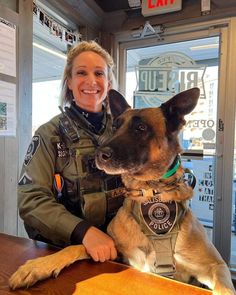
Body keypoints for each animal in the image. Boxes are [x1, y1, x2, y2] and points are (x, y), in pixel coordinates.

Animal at [8, 89, 235, 294]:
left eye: (141, 128)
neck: (150, 193)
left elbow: (224, 288)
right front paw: (36, 266)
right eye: (115, 127)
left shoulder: (217, 266)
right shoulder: (111, 248)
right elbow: (73, 247)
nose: (99, 155)